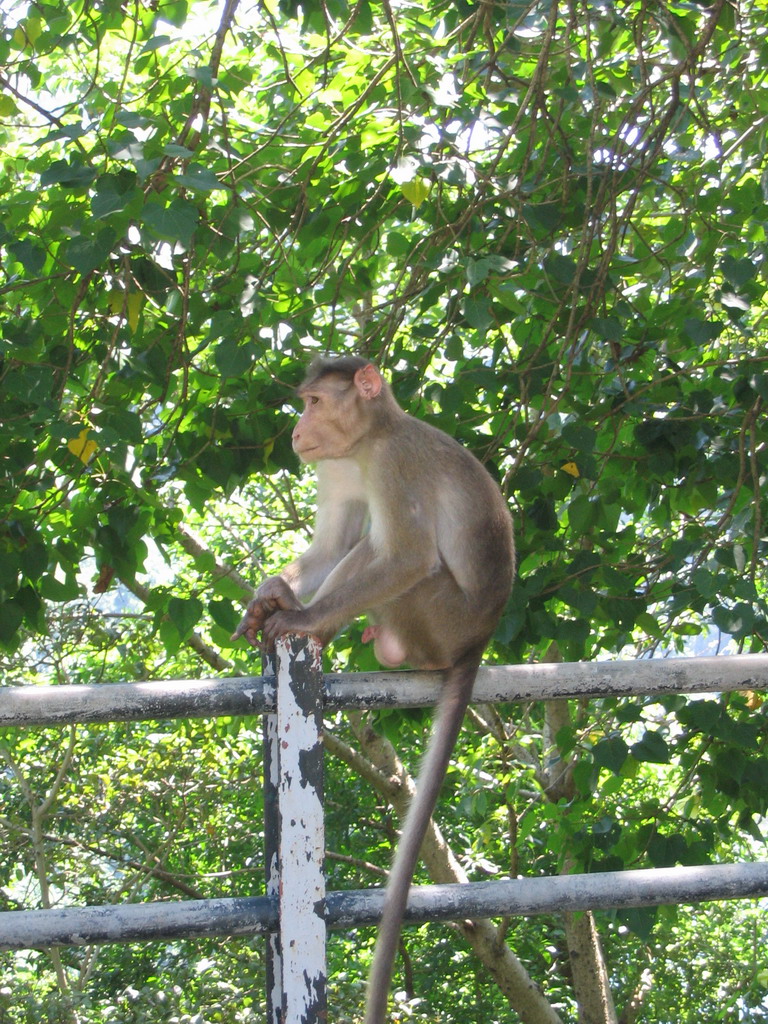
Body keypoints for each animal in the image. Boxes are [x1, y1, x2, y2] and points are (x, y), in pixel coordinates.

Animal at [231, 354, 514, 1024]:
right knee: (360, 545)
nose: (297, 430)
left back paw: (321, 626)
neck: (370, 440)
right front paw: (270, 594)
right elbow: (334, 545)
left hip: (437, 618)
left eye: (313, 401)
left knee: (394, 555)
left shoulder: (392, 464)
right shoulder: (338, 466)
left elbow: (405, 557)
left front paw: (301, 617)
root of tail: (478, 639)